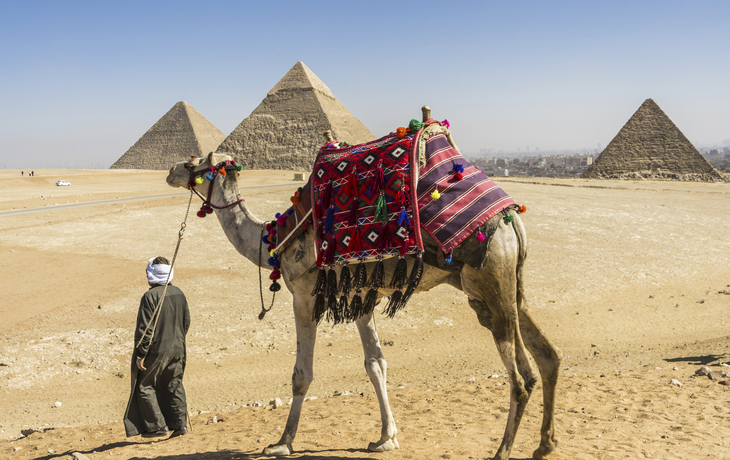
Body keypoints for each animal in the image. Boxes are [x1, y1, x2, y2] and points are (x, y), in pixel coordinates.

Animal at [166, 129, 562, 460]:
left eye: (195, 163)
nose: (171, 170)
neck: (275, 240)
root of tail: (513, 219)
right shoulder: (360, 296)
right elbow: (376, 363)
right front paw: (386, 437)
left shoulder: (305, 296)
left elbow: (302, 373)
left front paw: (281, 443)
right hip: (508, 286)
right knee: (548, 356)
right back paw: (544, 444)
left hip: (489, 278)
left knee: (521, 377)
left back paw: (503, 451)